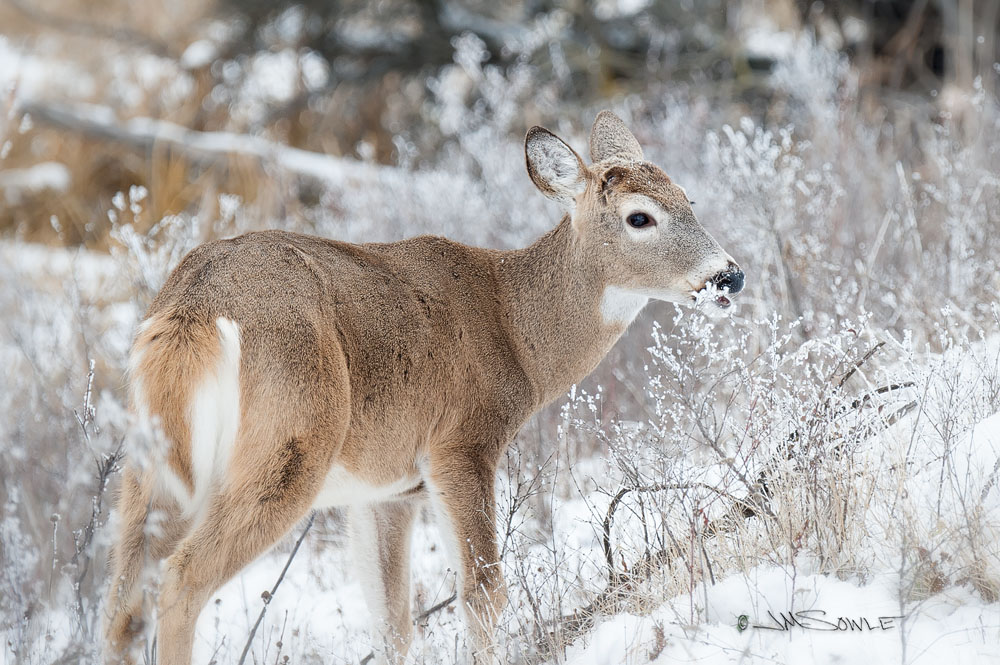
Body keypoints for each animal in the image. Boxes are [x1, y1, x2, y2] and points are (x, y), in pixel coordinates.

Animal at [103, 111, 744, 665]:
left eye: (688, 200)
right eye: (640, 217)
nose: (728, 275)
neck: (517, 334)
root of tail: (191, 312)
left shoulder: (384, 489)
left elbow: (392, 623)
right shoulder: (462, 441)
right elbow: (483, 592)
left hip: (148, 469)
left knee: (122, 606)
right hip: (291, 437)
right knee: (181, 580)